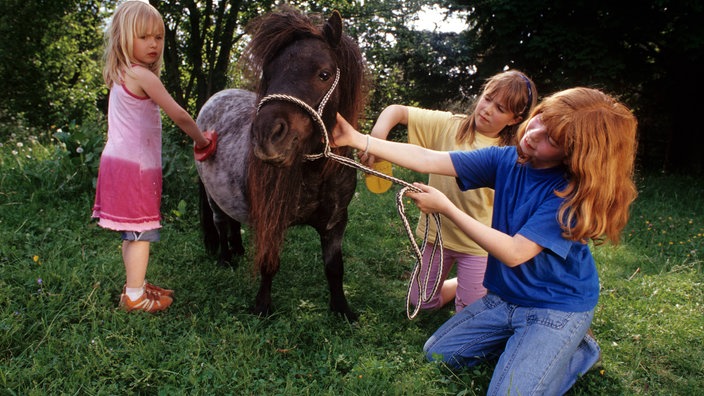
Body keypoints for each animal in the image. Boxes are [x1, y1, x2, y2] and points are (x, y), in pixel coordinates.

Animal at [194, 6, 366, 320]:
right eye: (269, 73)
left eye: (324, 74)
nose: (265, 135)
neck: (315, 171)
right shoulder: (271, 220)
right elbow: (269, 263)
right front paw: (262, 307)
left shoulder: (336, 222)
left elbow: (334, 268)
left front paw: (342, 310)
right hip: (213, 195)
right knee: (221, 222)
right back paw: (225, 258)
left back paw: (238, 249)